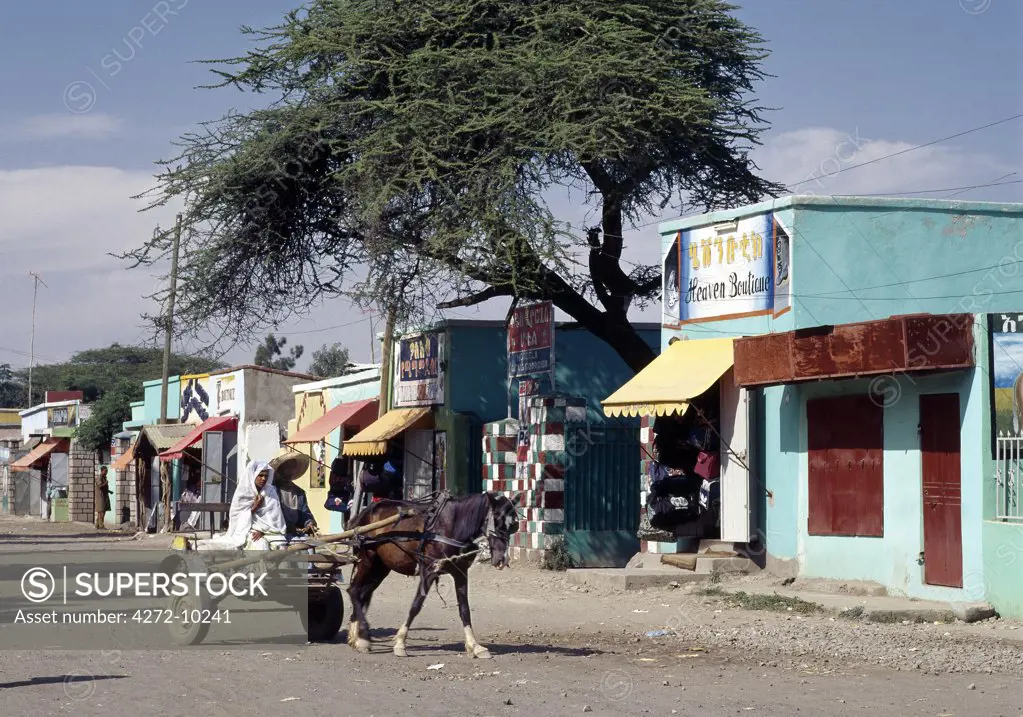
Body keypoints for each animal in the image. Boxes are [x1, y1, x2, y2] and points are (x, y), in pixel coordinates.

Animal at [347, 488, 523, 658]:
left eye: (514, 525)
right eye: (497, 521)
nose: (502, 559)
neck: (453, 525)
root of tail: (365, 511)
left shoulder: (461, 573)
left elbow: (464, 609)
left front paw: (474, 646)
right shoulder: (429, 571)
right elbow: (416, 606)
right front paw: (400, 643)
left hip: (381, 567)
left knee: (362, 593)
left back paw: (356, 637)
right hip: (367, 559)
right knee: (354, 591)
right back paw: (363, 637)